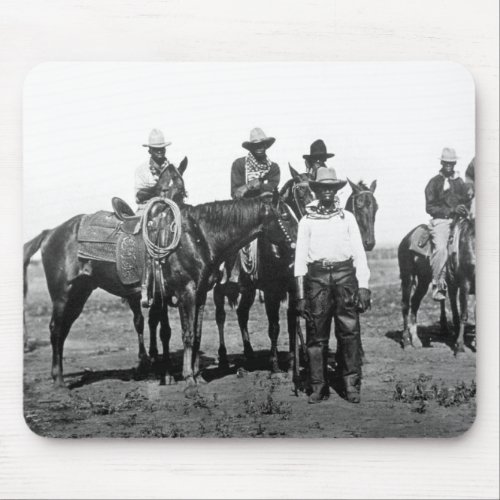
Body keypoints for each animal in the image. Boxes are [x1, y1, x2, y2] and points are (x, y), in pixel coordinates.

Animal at [23, 160, 188, 382]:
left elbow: (159, 327)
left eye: (181, 191)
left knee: (64, 328)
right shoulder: (160, 294)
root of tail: (50, 232)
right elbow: (164, 330)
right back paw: (58, 378)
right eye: (161, 190)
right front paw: (166, 373)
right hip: (62, 295)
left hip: (79, 293)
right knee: (55, 328)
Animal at [212, 170, 378, 374]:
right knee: (220, 316)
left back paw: (250, 355)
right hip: (220, 287)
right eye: (300, 192)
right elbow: (274, 326)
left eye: (376, 207)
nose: (369, 243)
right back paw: (223, 358)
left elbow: (293, 321)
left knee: (242, 314)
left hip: (249, 289)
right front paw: (275, 365)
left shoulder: (294, 288)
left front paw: (294, 360)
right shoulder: (272, 291)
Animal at [396, 209, 474, 354]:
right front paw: (459, 346)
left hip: (423, 279)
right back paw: (407, 342)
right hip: (407, 276)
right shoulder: (464, 284)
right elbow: (463, 314)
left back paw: (416, 340)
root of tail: (406, 238)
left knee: (415, 302)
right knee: (405, 305)